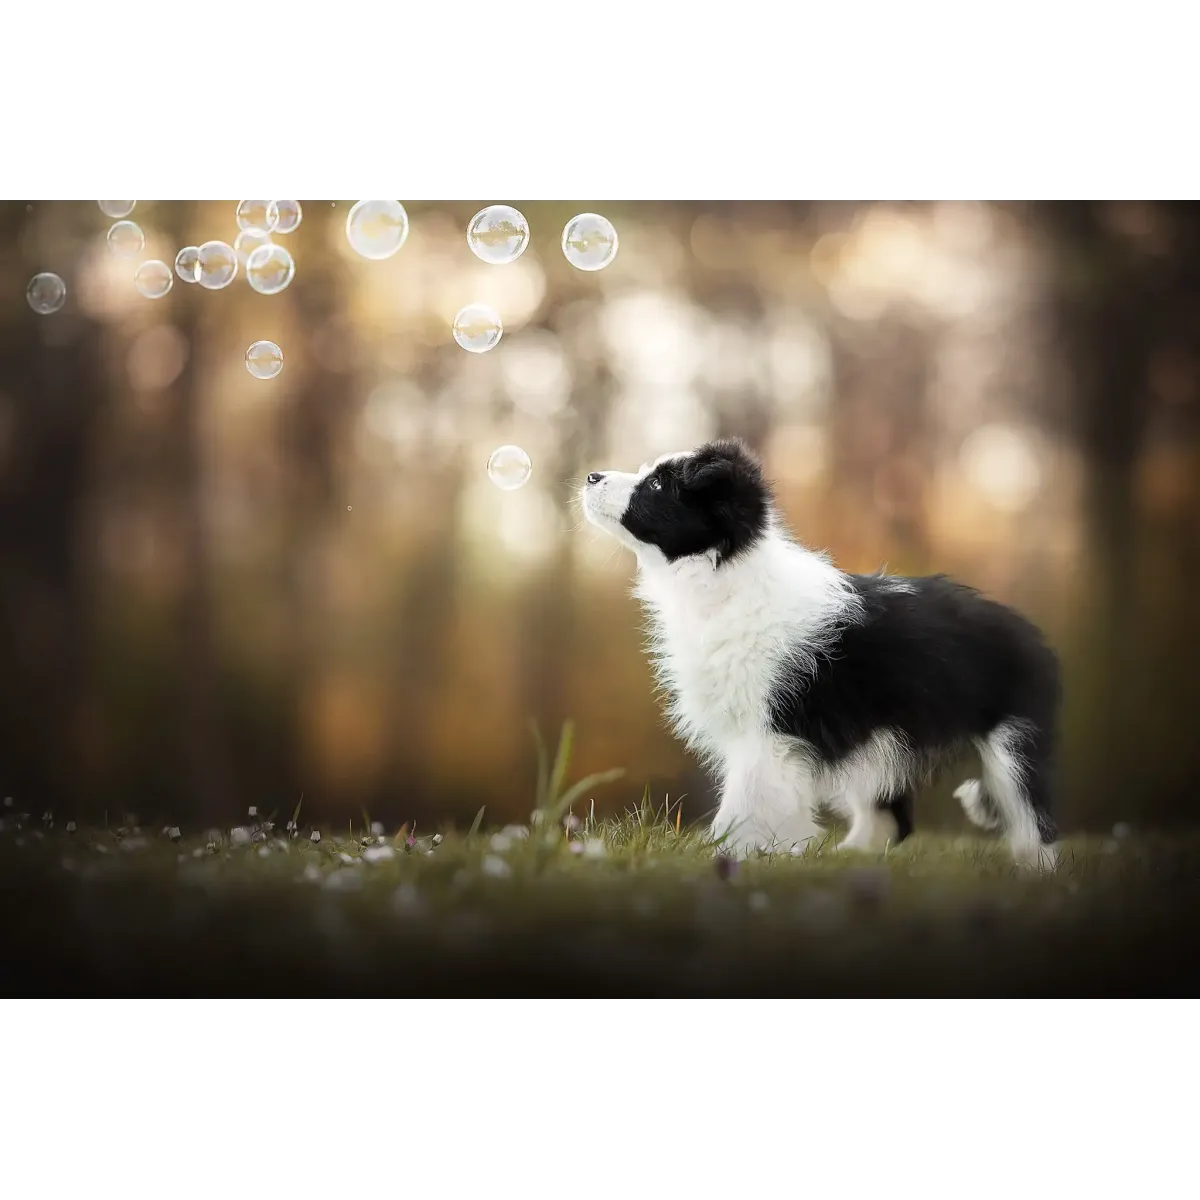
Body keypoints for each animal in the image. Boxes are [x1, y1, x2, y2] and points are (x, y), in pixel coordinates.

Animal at [580, 436, 1060, 868]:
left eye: (658, 484)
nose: (591, 476)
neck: (724, 577)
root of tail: (1030, 631)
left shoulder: (770, 731)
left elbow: (746, 799)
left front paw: (725, 855)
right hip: (882, 741)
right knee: (891, 816)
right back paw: (849, 857)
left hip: (1013, 740)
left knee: (1031, 810)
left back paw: (1037, 870)